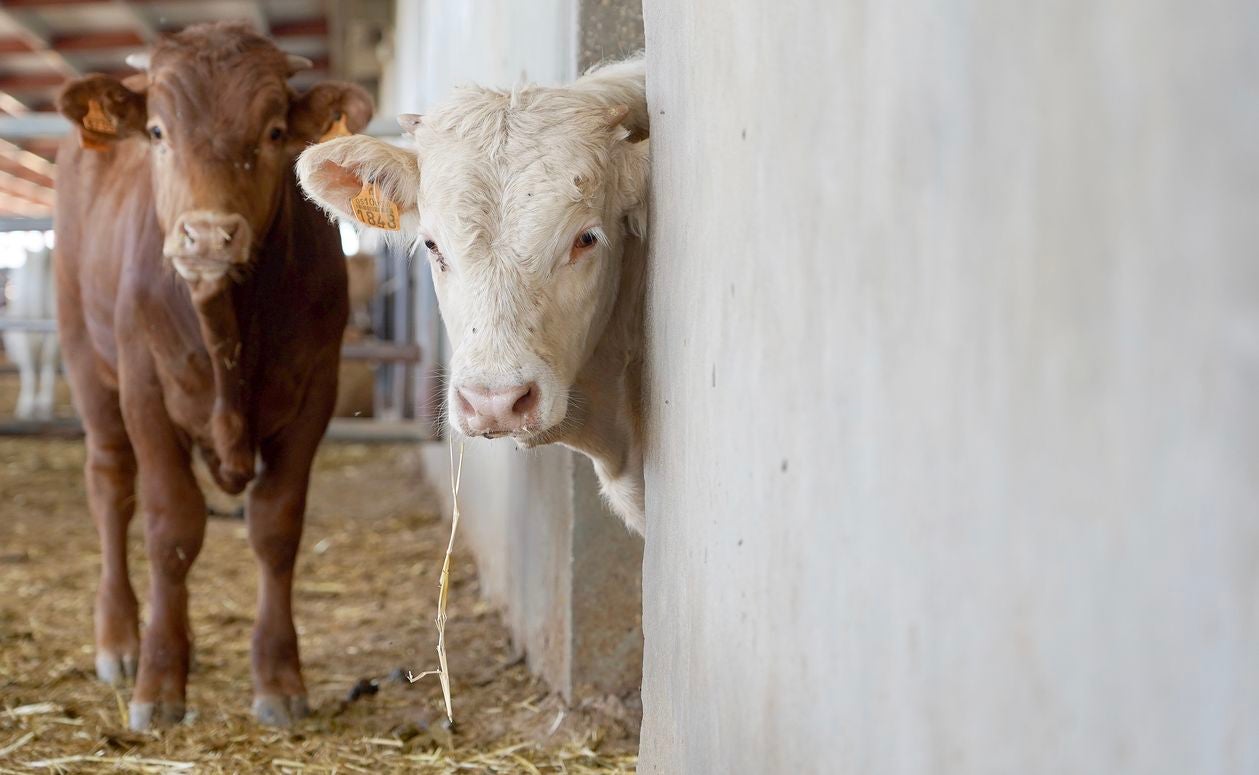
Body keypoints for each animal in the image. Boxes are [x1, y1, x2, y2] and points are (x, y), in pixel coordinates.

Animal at [55, 22, 367, 724]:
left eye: (275, 132)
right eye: (157, 131)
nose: (207, 236)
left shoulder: (317, 391)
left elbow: (276, 527)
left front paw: (277, 678)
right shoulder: (145, 387)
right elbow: (172, 527)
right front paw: (158, 683)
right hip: (86, 357)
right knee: (111, 486)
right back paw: (121, 640)